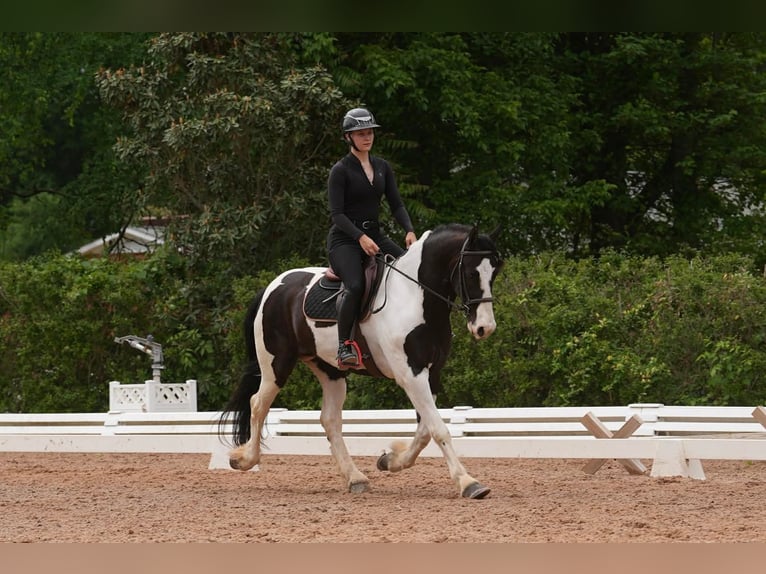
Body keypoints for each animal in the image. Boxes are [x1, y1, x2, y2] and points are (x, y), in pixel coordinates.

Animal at [218, 223, 503, 498]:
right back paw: (244, 460)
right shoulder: (410, 374)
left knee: (330, 420)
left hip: (331, 371)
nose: (484, 328)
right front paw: (469, 483)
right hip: (276, 364)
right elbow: (438, 429)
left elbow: (424, 431)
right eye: (471, 273)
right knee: (258, 404)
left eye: (494, 273)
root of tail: (272, 287)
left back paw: (355, 478)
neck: (414, 298)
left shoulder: (431, 374)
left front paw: (390, 460)